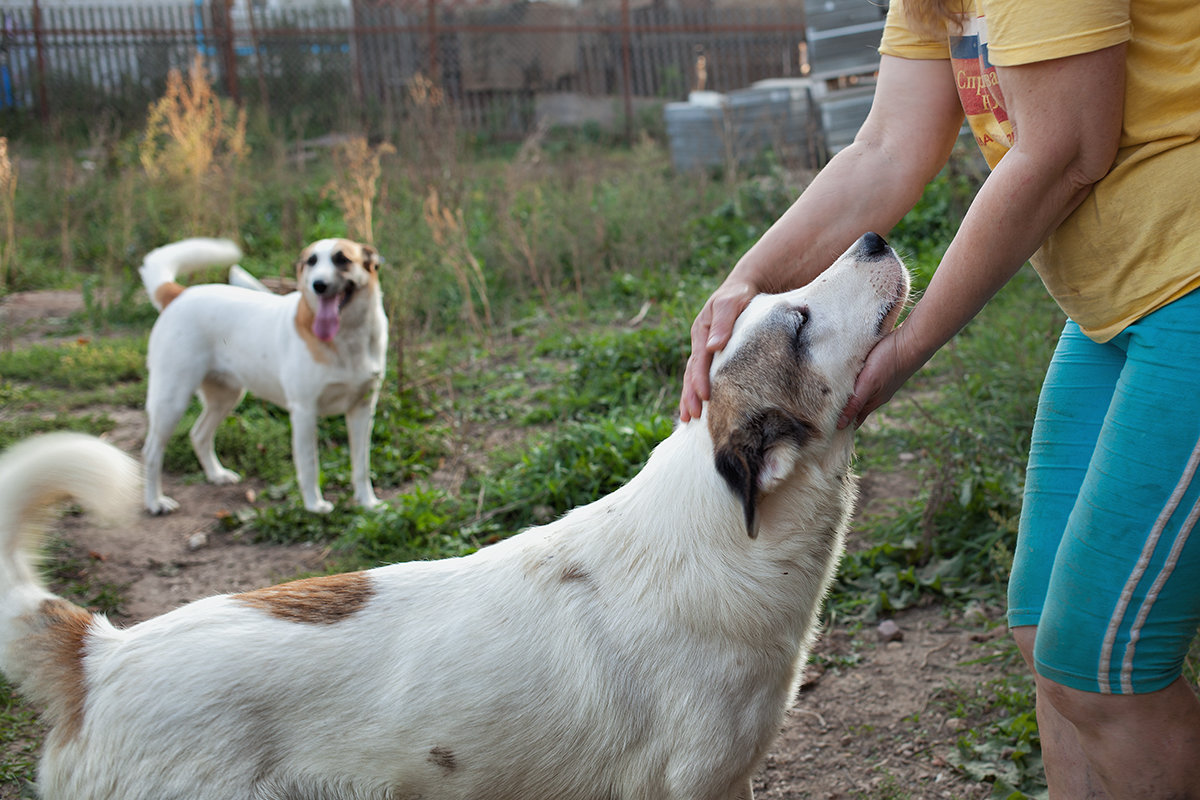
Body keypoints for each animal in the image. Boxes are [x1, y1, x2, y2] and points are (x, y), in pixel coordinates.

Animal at [138, 237, 386, 513]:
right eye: (311, 261)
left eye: (342, 259)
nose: (318, 285)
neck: (347, 339)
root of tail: (180, 293)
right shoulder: (304, 412)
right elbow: (310, 465)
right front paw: (314, 506)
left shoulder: (363, 410)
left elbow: (362, 465)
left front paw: (368, 502)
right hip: (172, 401)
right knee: (151, 451)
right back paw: (155, 502)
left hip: (227, 397)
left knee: (198, 434)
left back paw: (216, 475)